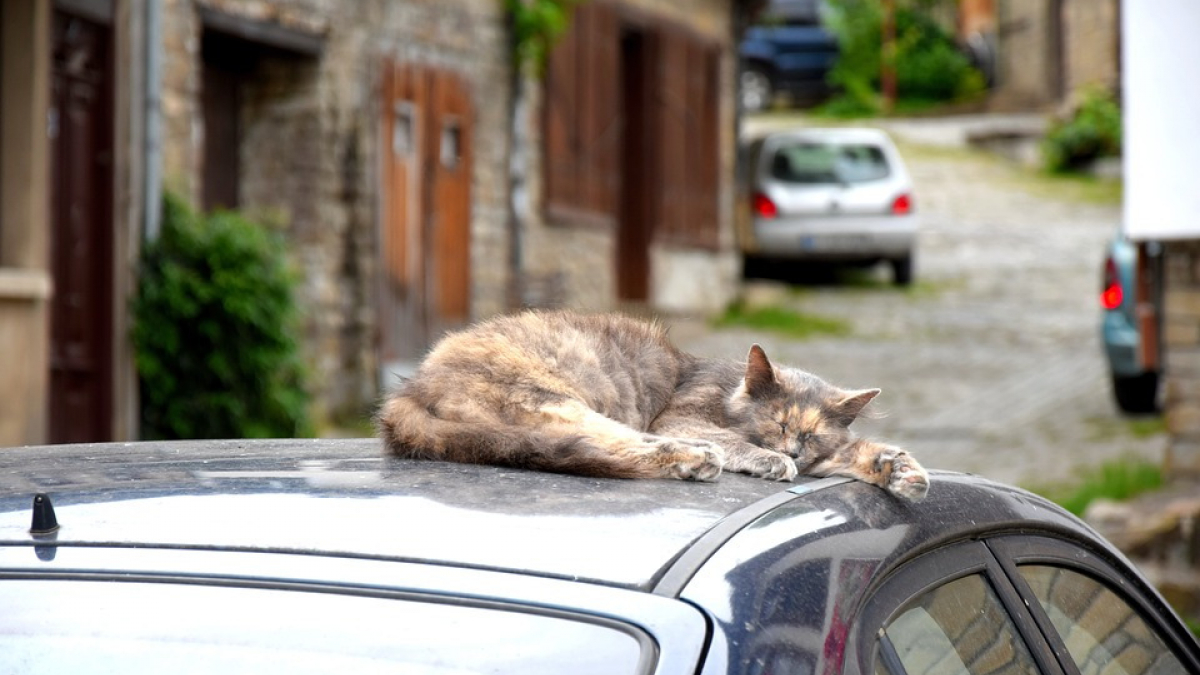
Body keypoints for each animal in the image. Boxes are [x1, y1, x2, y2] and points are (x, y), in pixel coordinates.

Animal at [374, 309, 926, 499]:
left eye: (811, 434)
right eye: (779, 423)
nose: (791, 451)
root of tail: (411, 390)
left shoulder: (826, 455)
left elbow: (857, 451)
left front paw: (901, 470)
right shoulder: (680, 413)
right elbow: (733, 439)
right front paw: (768, 460)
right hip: (555, 400)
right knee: (616, 446)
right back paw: (695, 459)